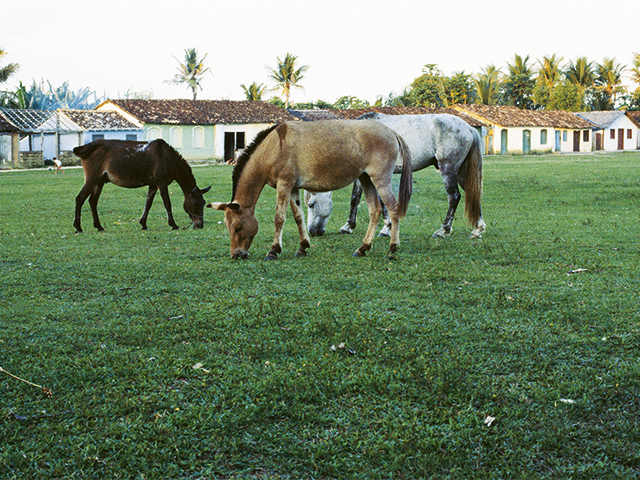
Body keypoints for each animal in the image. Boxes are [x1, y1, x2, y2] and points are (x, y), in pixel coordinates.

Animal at [73, 139, 211, 232]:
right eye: (196, 203)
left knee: (92, 201)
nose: (200, 225)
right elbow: (167, 203)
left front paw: (143, 224)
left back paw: (99, 226)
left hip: (99, 182)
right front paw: (173, 224)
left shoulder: (153, 185)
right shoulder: (161, 183)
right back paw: (78, 227)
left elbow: (148, 204)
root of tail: (88, 147)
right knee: (80, 199)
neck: (167, 157)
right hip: (92, 179)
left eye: (204, 203)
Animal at [208, 120, 412, 262]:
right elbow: (298, 217)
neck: (273, 147)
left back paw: (392, 249)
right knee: (375, 211)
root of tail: (391, 132)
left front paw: (273, 251)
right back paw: (363, 248)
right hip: (366, 180)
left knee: (393, 208)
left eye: (237, 227)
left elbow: (279, 218)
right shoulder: (293, 189)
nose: (236, 254)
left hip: (380, 180)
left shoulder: (284, 185)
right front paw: (303, 247)